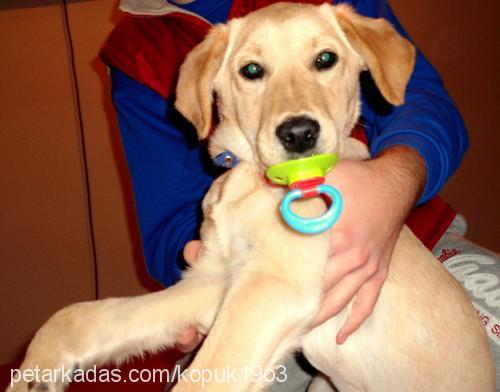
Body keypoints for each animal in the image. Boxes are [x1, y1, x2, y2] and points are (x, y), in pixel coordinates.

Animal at [8, 3, 496, 392]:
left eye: (326, 59)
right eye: (252, 70)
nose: (299, 134)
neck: (252, 180)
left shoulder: (272, 288)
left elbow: (203, 378)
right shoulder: (216, 280)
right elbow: (84, 317)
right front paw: (35, 372)